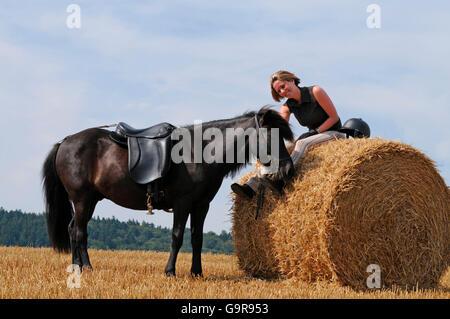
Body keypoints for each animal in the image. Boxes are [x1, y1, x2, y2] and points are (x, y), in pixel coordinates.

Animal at [41, 107, 296, 278]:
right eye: (272, 136)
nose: (288, 170)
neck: (199, 152)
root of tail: (66, 142)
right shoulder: (182, 204)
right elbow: (177, 237)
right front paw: (170, 271)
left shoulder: (201, 205)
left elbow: (197, 238)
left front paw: (196, 273)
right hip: (82, 199)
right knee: (79, 232)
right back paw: (83, 268)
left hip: (89, 200)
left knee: (75, 229)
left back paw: (81, 267)